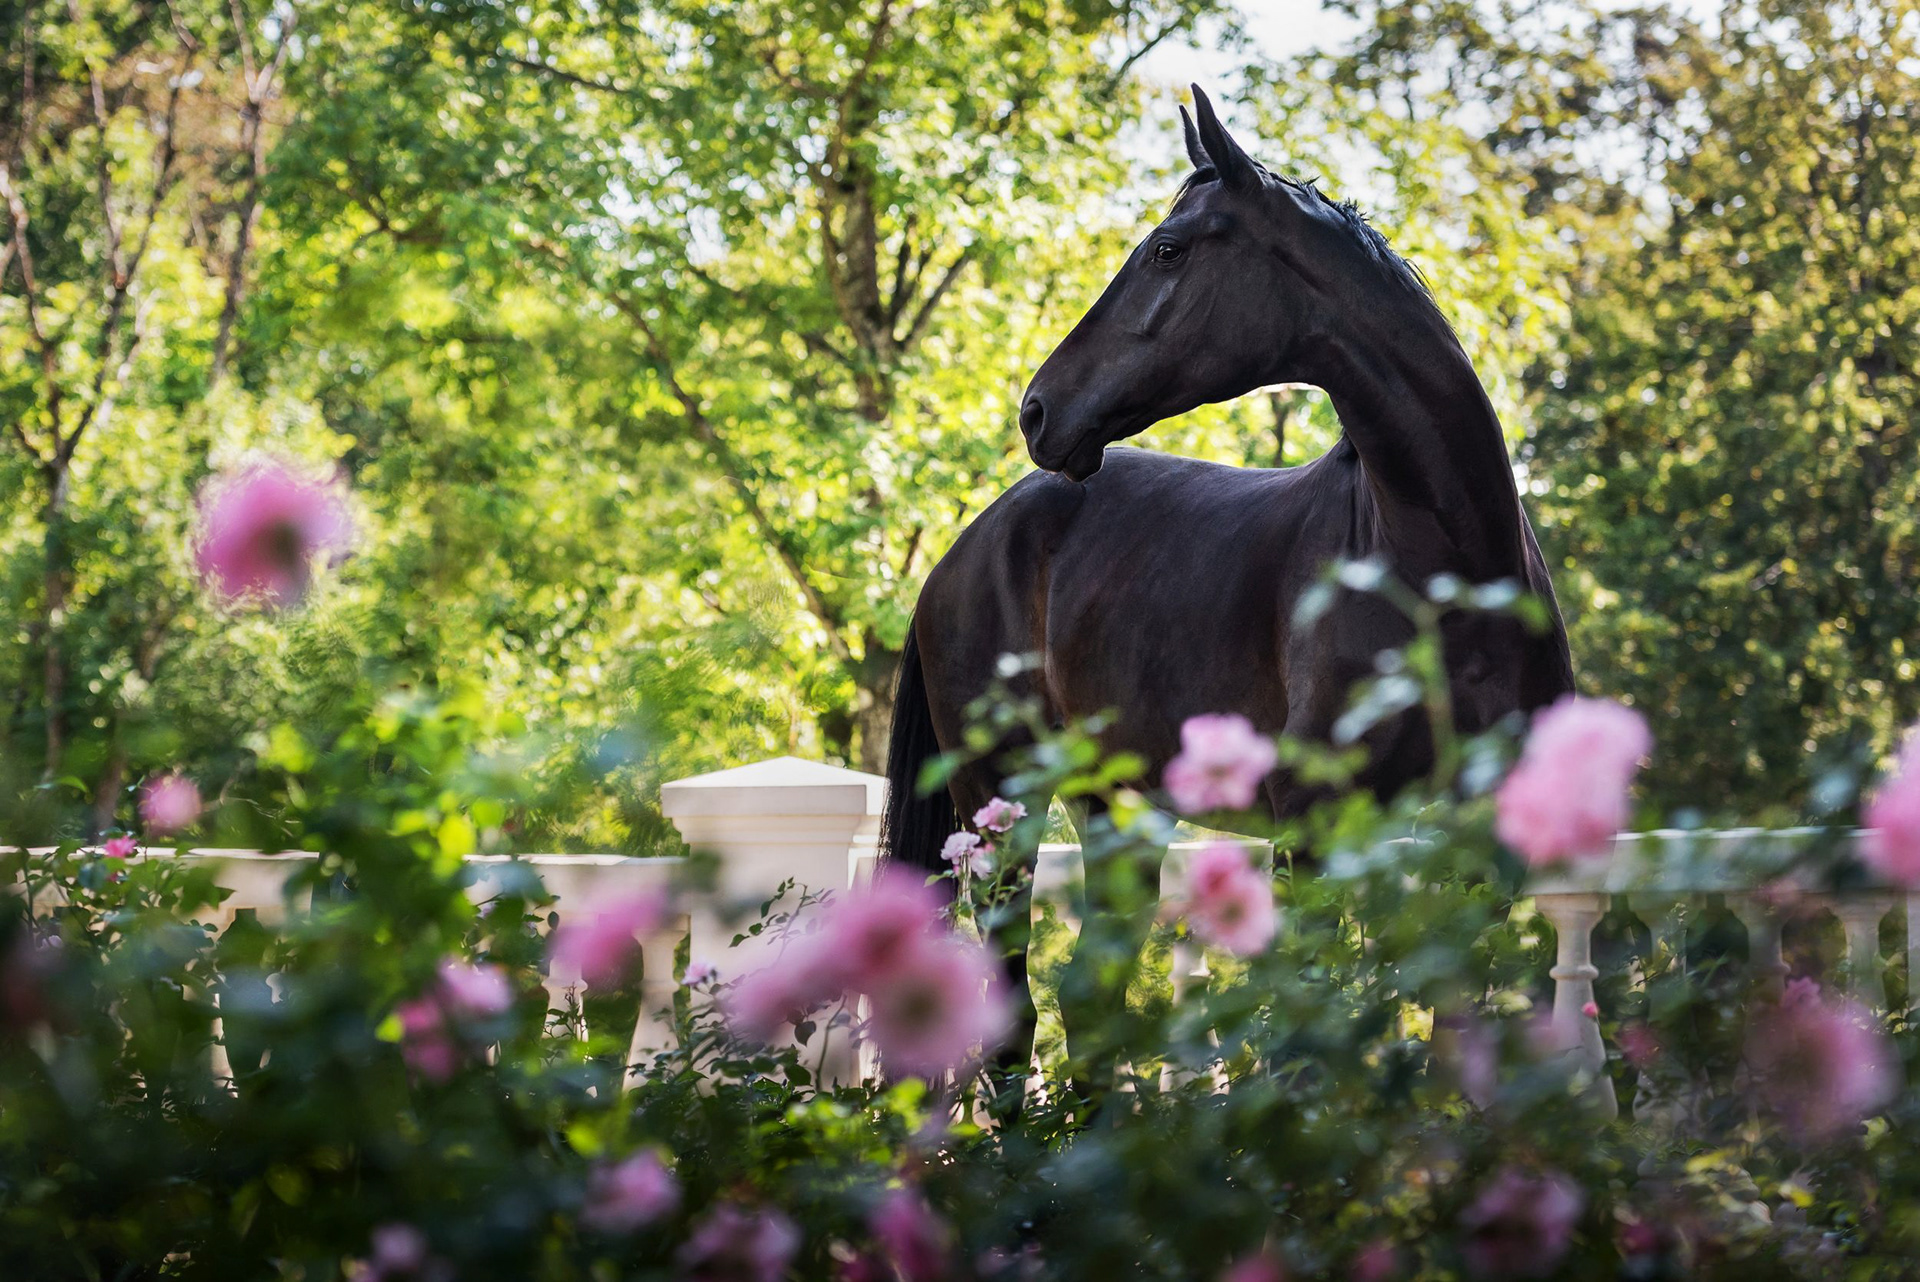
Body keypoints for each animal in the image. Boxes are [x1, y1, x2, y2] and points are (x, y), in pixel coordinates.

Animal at [881, 86, 1574, 1076]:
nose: (1038, 410)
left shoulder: (1473, 840)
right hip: (1000, 810)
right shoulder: (1314, 830)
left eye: (1169, 249)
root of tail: (969, 544)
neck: (1449, 577)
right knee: (1014, 1020)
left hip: (1119, 807)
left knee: (1087, 1002)